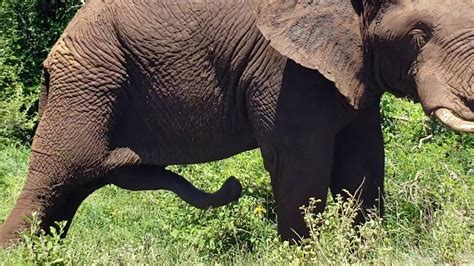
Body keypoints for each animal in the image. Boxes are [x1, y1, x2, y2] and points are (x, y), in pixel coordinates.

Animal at [0, 0, 474, 246]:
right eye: (418, 35)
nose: (234, 185)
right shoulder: (282, 68)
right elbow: (301, 165)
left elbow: (364, 161)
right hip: (88, 83)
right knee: (53, 180)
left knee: (67, 193)